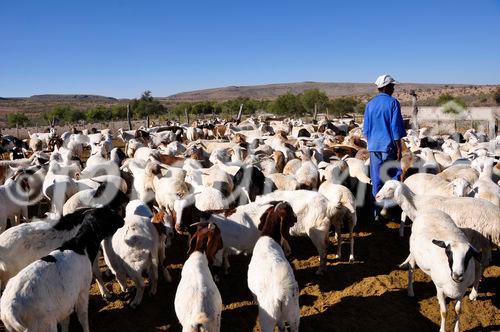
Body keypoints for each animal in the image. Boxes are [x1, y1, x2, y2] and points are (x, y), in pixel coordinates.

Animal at [247, 200, 298, 332]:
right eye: (291, 209)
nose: (296, 217)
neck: (268, 235)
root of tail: (280, 295)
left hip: (267, 318)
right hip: (293, 313)